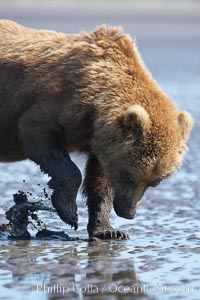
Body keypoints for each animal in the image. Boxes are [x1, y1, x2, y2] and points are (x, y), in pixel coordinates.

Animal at [0, 20, 194, 239]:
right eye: (128, 175)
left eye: (155, 182)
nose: (128, 212)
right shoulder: (56, 103)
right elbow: (40, 137)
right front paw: (68, 211)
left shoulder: (100, 140)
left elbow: (100, 182)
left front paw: (108, 230)